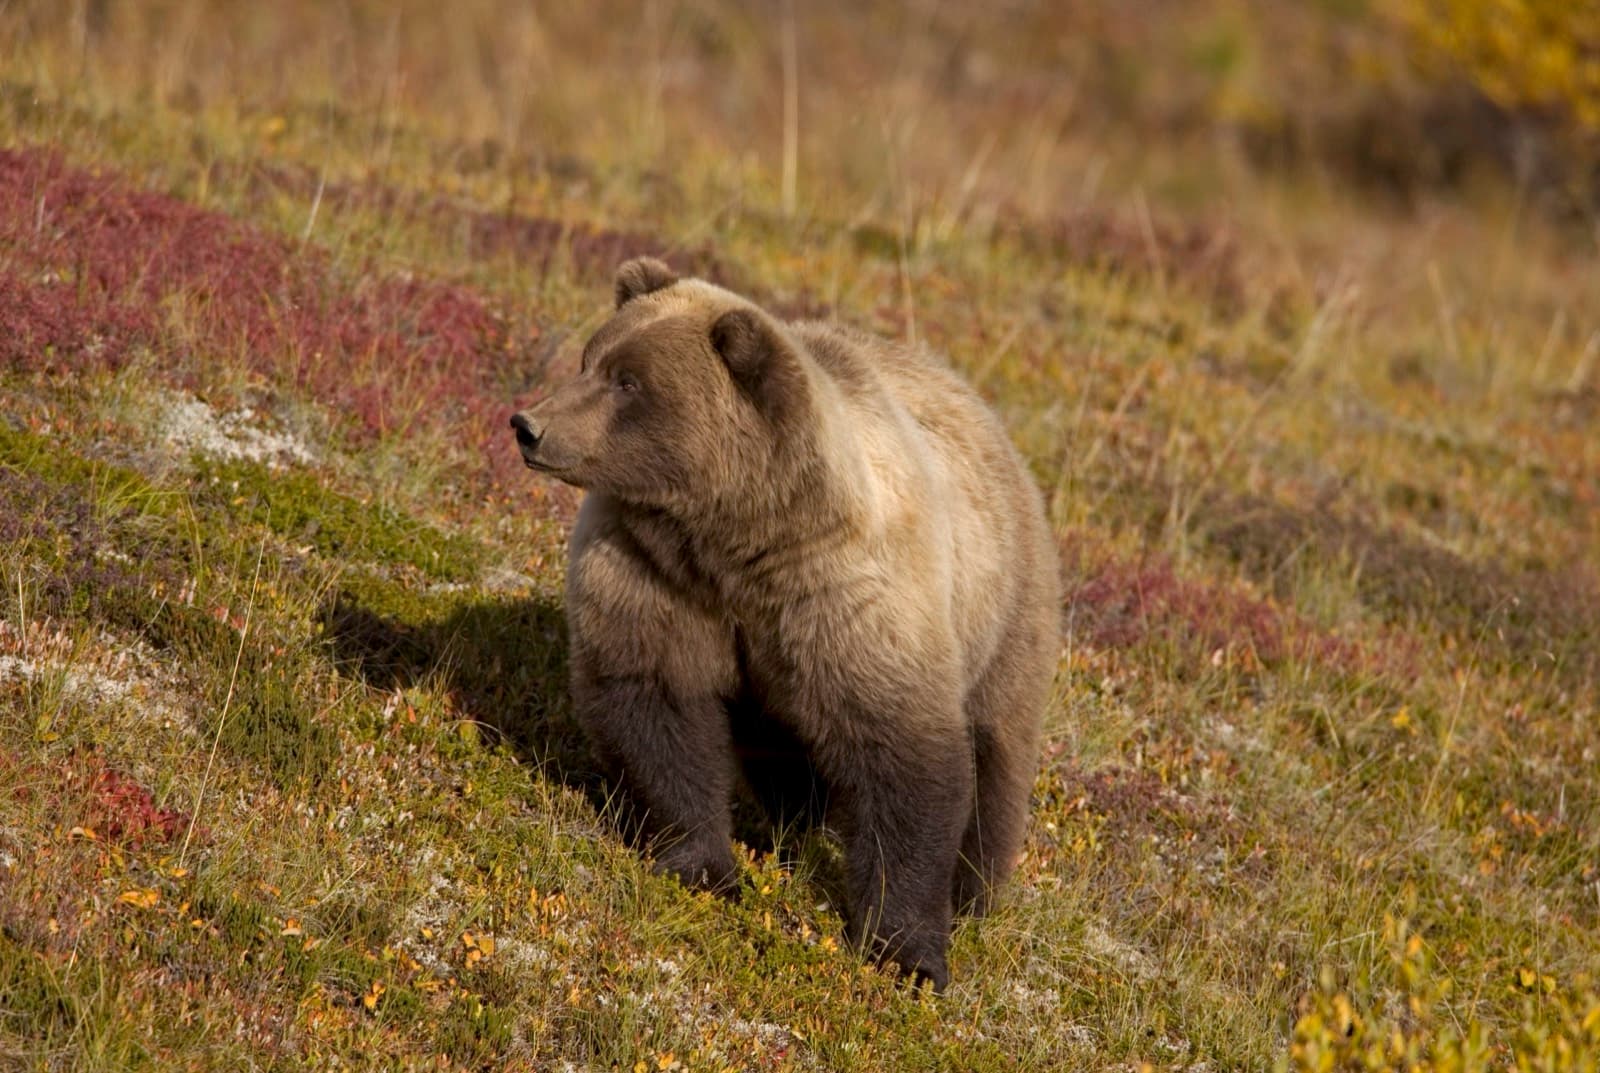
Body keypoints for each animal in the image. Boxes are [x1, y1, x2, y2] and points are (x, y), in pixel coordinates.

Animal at [509, 257, 1059, 990]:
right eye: (590, 359)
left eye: (629, 381)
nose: (529, 424)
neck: (737, 540)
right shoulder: (653, 569)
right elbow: (655, 702)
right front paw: (704, 866)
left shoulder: (848, 599)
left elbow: (907, 758)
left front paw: (909, 951)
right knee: (782, 746)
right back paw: (792, 827)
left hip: (1004, 610)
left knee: (996, 755)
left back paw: (975, 893)